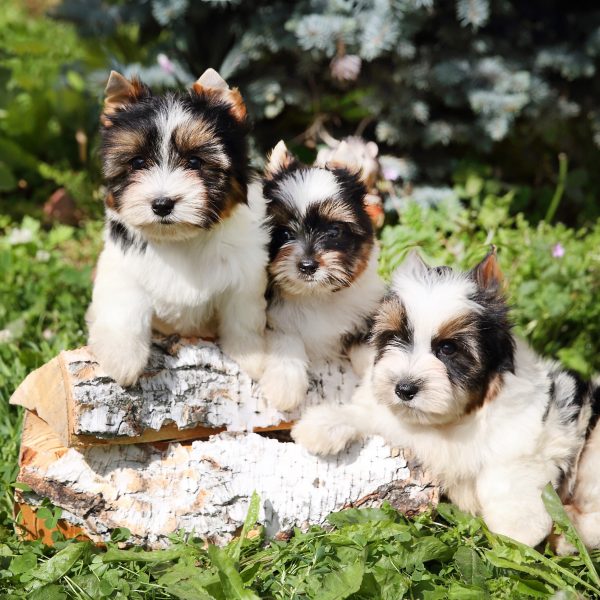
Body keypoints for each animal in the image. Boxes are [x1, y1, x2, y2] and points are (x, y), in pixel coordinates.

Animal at [86, 69, 268, 384]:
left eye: (195, 161)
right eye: (138, 162)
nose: (162, 204)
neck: (179, 238)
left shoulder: (245, 276)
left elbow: (243, 317)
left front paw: (252, 357)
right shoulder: (121, 264)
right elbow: (125, 306)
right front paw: (123, 358)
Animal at [258, 141, 384, 412]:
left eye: (334, 231)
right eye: (283, 234)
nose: (307, 266)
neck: (316, 294)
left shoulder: (366, 312)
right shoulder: (268, 315)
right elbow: (285, 337)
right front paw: (285, 386)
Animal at [294, 248, 600, 548]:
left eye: (449, 348)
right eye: (393, 337)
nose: (404, 389)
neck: (455, 419)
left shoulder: (527, 433)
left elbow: (504, 468)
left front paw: (518, 526)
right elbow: (372, 413)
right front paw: (322, 424)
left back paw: (567, 535)